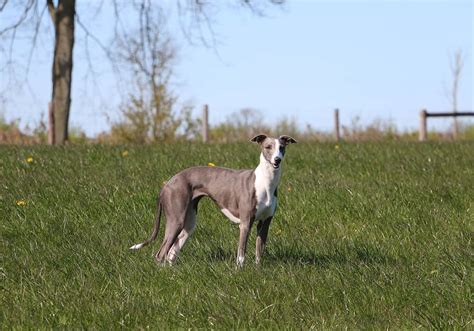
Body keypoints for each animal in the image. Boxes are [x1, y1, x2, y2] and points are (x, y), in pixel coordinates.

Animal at [130, 135, 296, 268]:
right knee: (161, 253)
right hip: (176, 220)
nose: (277, 160)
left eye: (281, 148)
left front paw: (257, 270)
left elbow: (259, 251)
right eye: (268, 147)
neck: (265, 182)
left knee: (172, 252)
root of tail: (168, 183)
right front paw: (240, 271)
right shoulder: (245, 223)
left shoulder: (265, 223)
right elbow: (241, 253)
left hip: (189, 223)